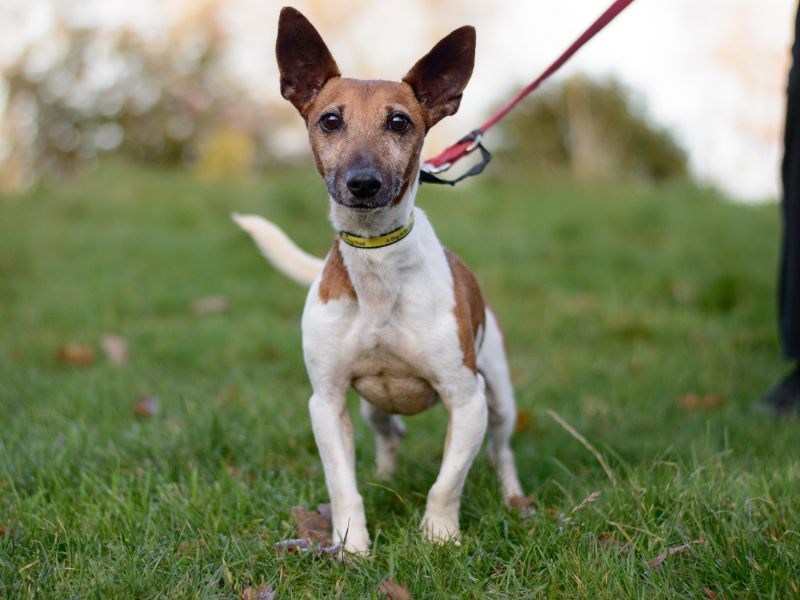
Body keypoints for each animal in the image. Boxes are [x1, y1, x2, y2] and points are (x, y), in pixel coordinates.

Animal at [234, 7, 524, 556]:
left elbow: (446, 482)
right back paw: (386, 476)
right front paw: (351, 545)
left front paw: (440, 536)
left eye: (399, 122)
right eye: (330, 120)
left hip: (499, 394)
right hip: (371, 407)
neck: (377, 266)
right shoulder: (326, 402)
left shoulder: (467, 400)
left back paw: (514, 497)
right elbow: (341, 483)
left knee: (501, 449)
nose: (363, 183)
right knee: (390, 436)